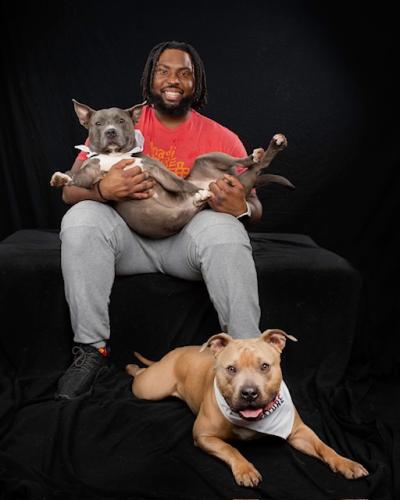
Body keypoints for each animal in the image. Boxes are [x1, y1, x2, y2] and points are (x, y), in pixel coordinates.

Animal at [50, 100, 294, 239]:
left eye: (121, 121)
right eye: (98, 124)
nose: (110, 131)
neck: (115, 155)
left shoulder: (155, 169)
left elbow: (181, 183)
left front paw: (199, 192)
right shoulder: (91, 172)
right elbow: (78, 177)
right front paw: (61, 178)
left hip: (209, 157)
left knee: (248, 163)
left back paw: (262, 151)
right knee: (258, 167)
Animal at [126, 330, 368, 486]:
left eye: (265, 366)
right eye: (231, 369)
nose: (249, 393)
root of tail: (174, 352)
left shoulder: (299, 432)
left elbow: (323, 447)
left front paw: (346, 463)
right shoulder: (203, 436)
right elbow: (230, 448)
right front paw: (245, 469)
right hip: (149, 388)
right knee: (140, 375)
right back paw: (132, 367)